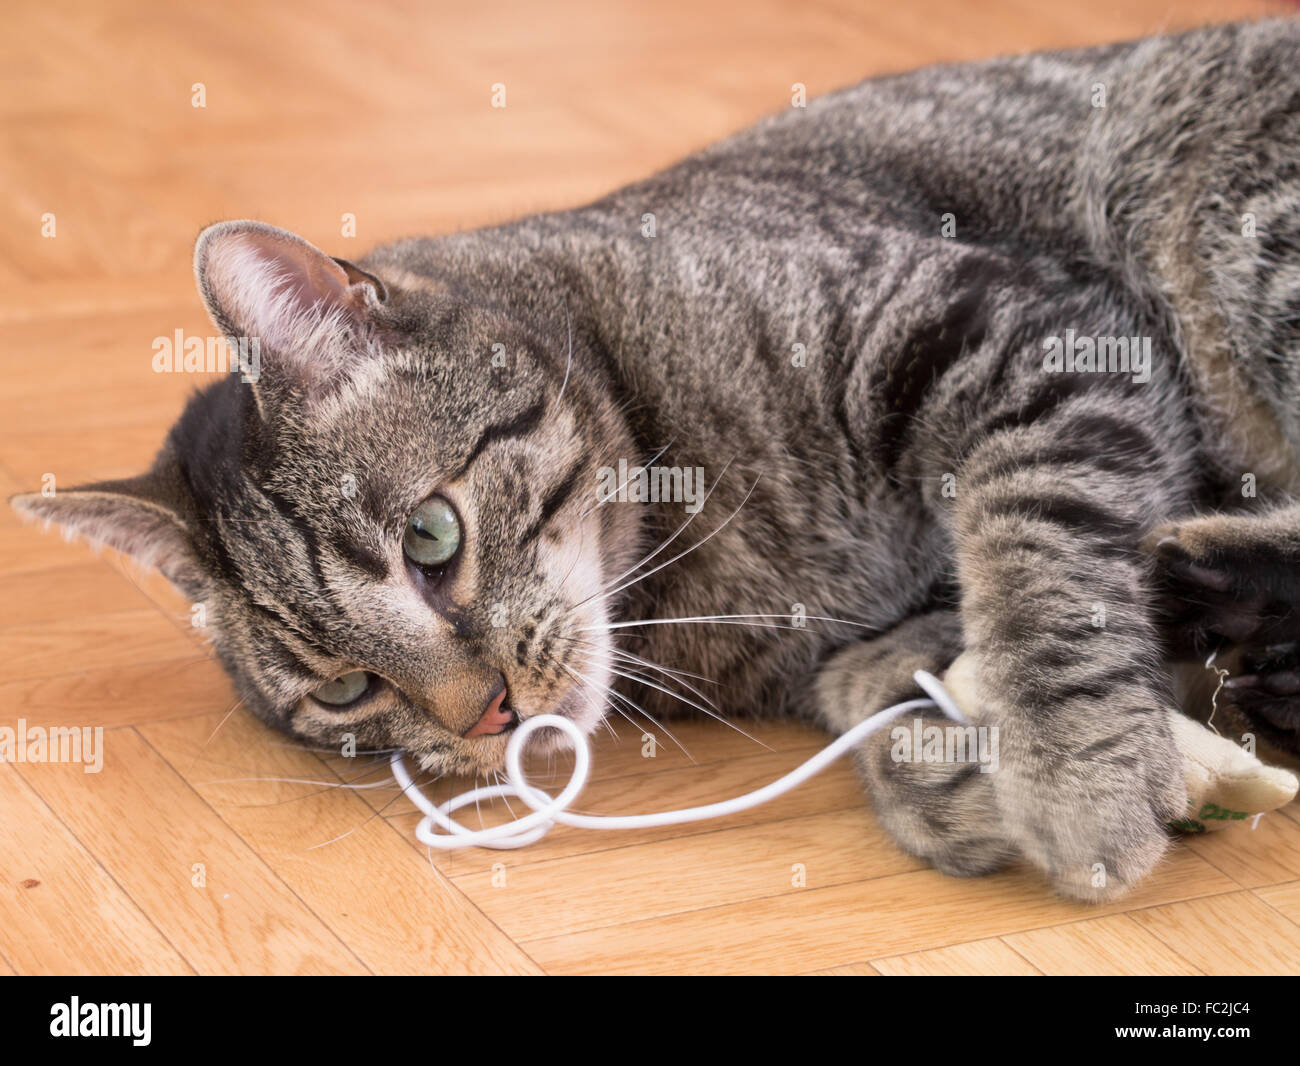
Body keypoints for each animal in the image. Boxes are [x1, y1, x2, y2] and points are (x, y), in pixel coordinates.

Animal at [12, 16, 1300, 899]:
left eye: (431, 537)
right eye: (342, 691)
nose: (489, 717)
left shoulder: (1018, 331)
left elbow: (1039, 570)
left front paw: (1078, 776)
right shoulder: (855, 643)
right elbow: (897, 685)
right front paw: (948, 773)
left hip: (1220, 215)